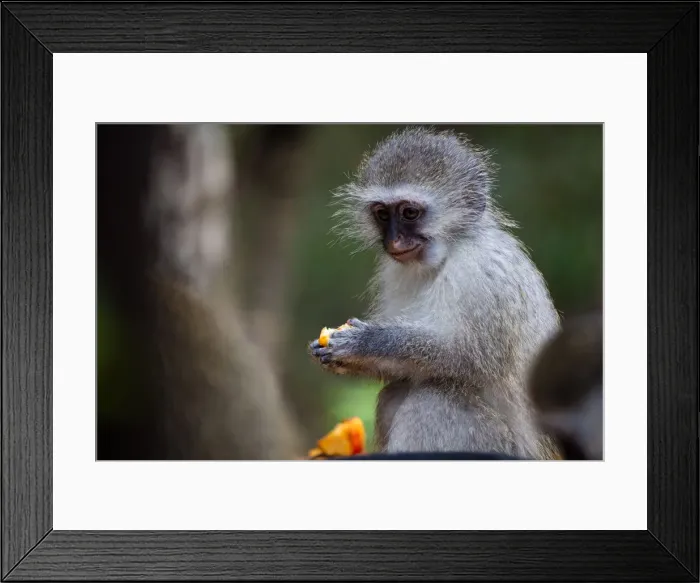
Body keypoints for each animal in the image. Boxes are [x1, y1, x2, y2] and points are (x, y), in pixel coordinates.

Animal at [308, 126, 561, 459]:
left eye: (409, 213)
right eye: (382, 214)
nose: (394, 242)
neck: (445, 254)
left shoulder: (481, 272)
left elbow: (463, 356)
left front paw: (364, 343)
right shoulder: (394, 271)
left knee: (433, 399)